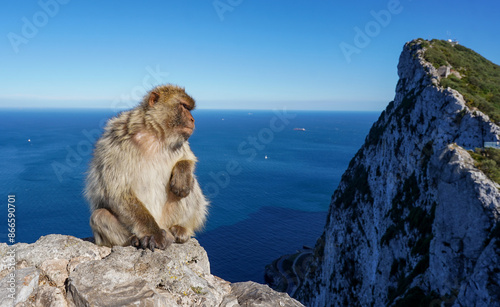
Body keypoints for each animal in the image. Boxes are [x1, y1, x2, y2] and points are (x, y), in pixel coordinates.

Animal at [83, 85, 207, 253]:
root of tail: (162, 224)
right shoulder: (117, 140)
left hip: (168, 219)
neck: (155, 135)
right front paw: (155, 235)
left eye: (189, 108)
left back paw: (181, 229)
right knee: (99, 216)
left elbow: (187, 158)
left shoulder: (180, 142)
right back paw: (134, 239)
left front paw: (182, 175)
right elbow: (118, 191)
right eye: (183, 106)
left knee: (190, 184)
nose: (193, 119)